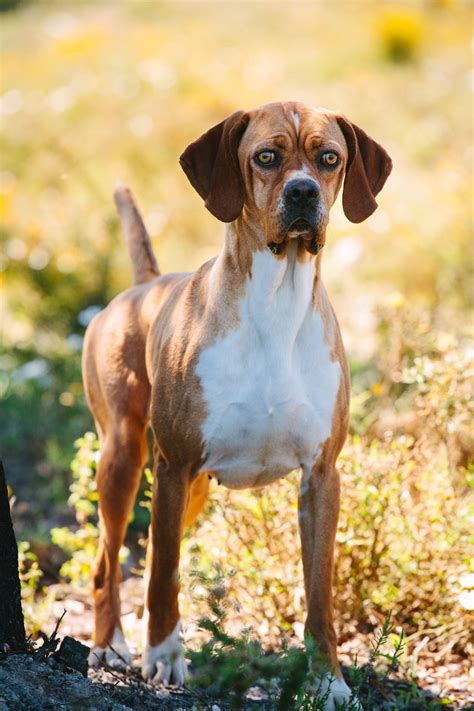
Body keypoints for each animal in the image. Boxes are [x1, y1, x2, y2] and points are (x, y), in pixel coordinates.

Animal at [82, 100, 392, 708]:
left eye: (329, 159)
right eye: (266, 157)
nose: (303, 193)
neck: (277, 301)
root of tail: (144, 286)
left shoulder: (321, 477)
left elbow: (319, 596)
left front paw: (329, 681)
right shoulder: (174, 465)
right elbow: (164, 574)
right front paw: (165, 657)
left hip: (193, 490)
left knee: (149, 556)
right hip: (125, 459)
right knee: (112, 561)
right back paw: (111, 647)